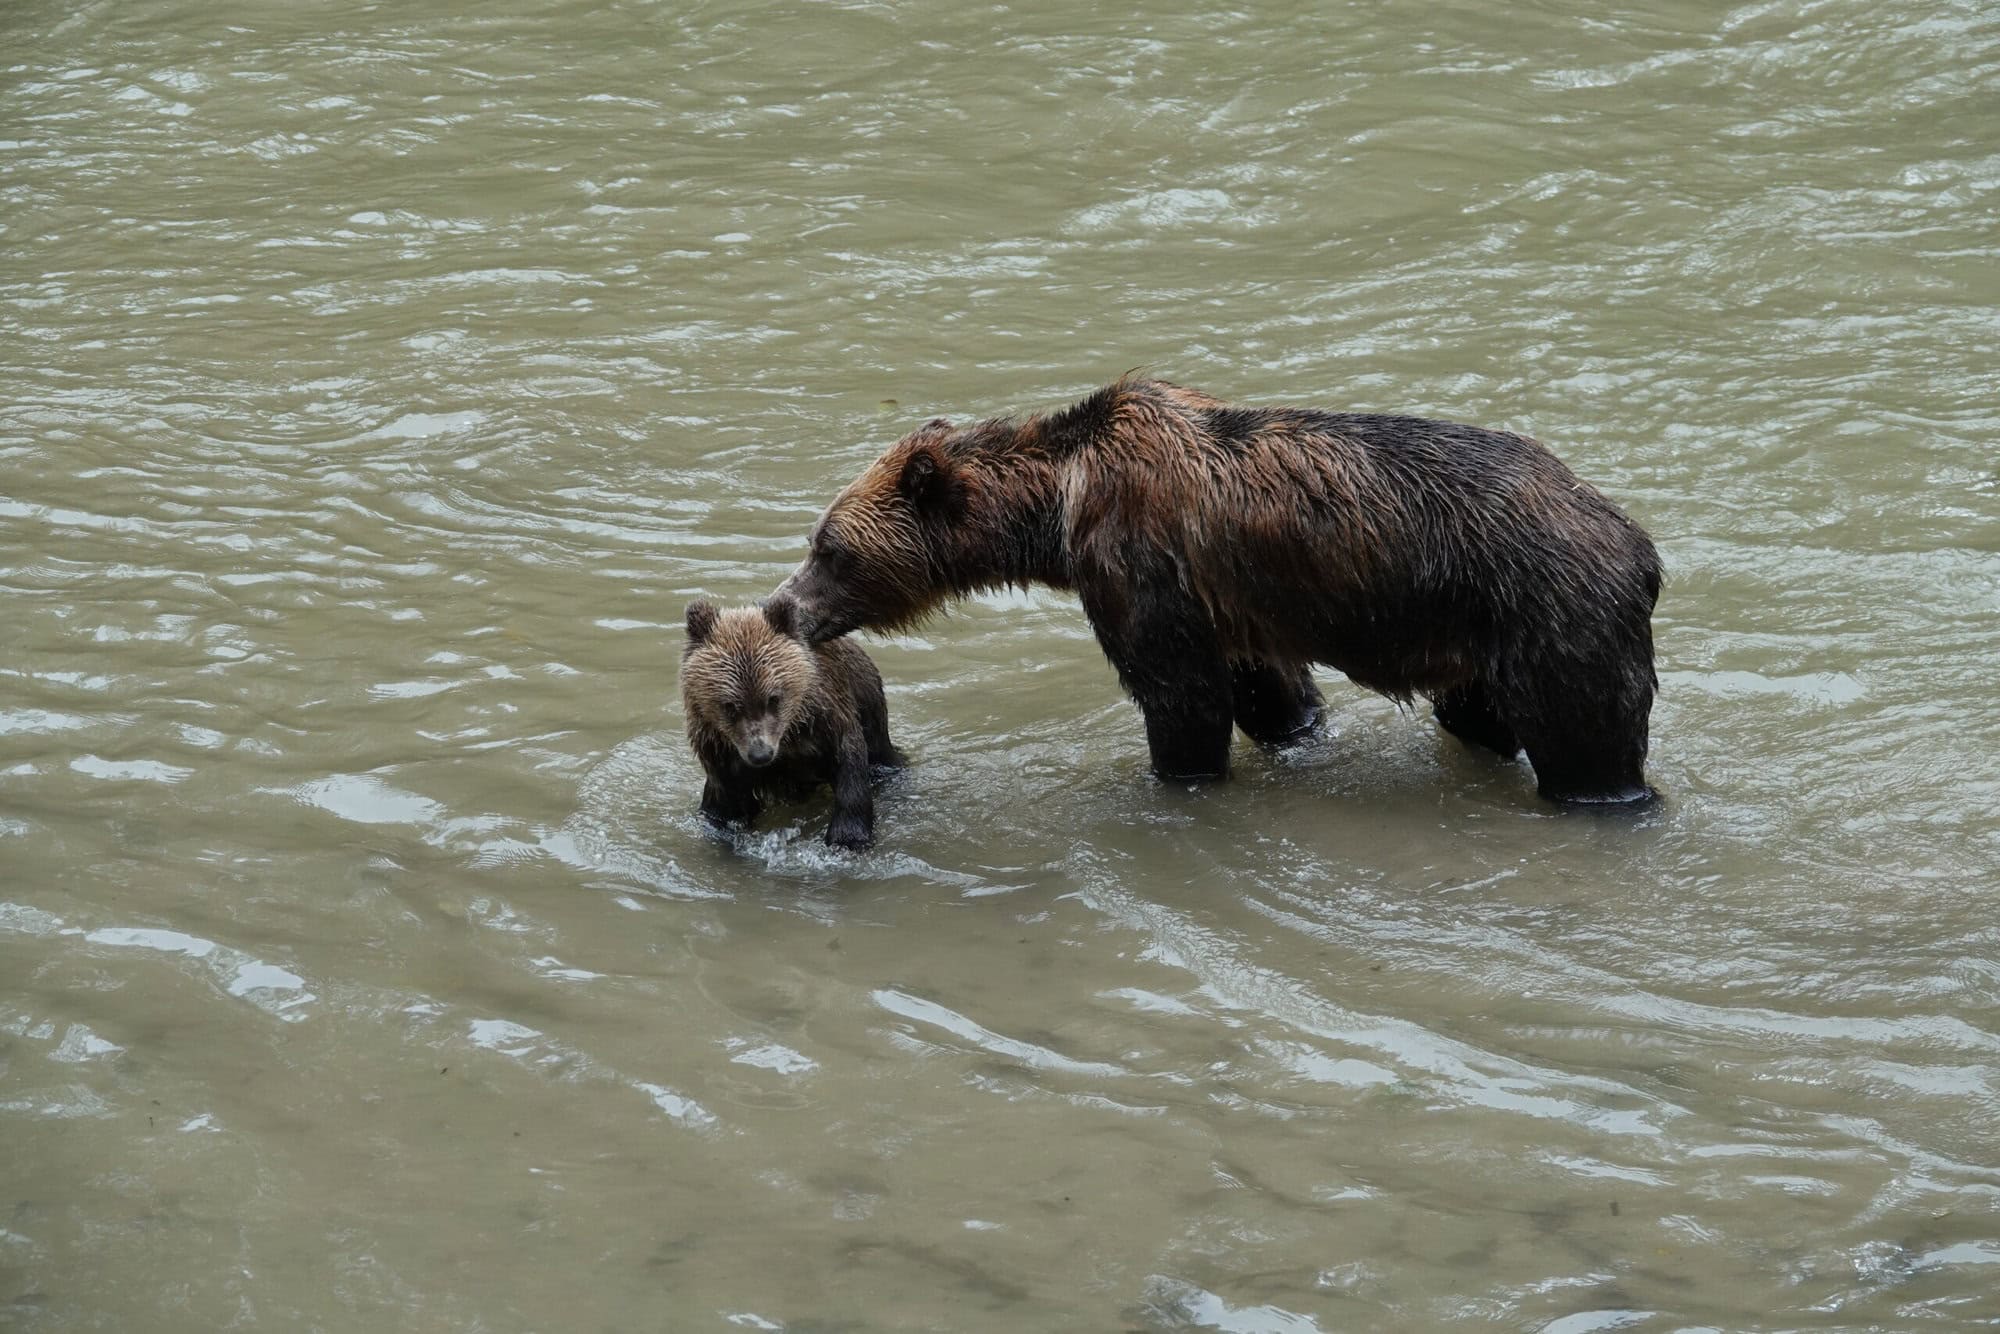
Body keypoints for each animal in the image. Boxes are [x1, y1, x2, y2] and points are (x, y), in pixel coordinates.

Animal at [680, 597, 904, 848]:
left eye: (773, 698)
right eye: (730, 705)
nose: (761, 754)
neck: (789, 737)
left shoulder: (829, 723)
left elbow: (850, 775)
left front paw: (848, 836)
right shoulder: (720, 755)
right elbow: (726, 809)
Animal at [769, 375, 1662, 805]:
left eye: (828, 547)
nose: (781, 604)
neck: (1057, 510)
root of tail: (1639, 543)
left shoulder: (1137, 561)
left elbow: (1181, 698)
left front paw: (1172, 774)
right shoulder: (1227, 603)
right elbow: (1269, 692)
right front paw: (1291, 726)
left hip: (1552, 616)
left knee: (1588, 746)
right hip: (1478, 639)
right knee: (1476, 715)